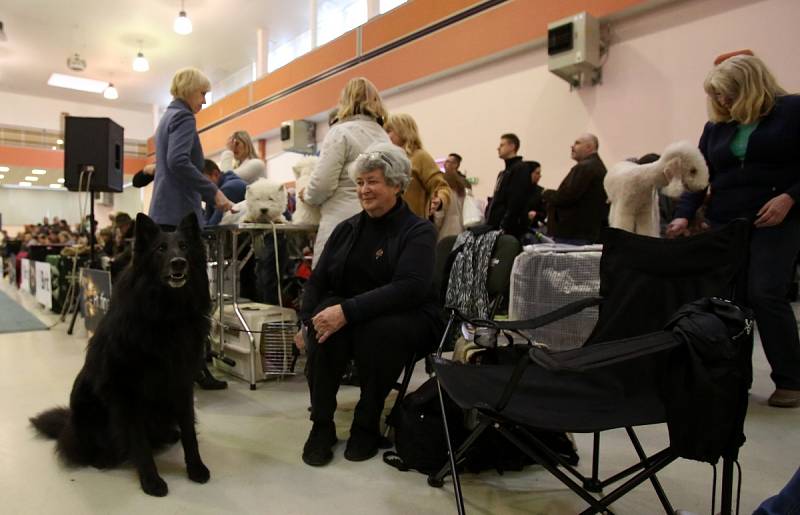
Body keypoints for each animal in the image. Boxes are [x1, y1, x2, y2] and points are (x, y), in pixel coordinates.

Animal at [31, 212, 212, 498]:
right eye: (161, 249)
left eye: (184, 247)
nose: (179, 263)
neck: (167, 315)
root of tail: (68, 424)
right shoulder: (128, 390)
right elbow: (139, 440)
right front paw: (151, 480)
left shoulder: (182, 380)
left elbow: (189, 432)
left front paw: (196, 468)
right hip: (87, 406)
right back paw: (102, 457)